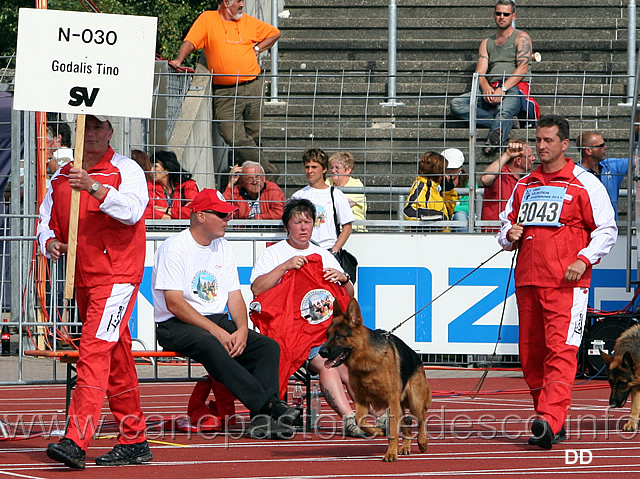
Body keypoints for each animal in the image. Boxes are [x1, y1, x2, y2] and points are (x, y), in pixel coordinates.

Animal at [318, 300, 430, 462]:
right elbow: (359, 419)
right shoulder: (361, 399)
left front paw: (391, 453)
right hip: (401, 405)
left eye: (338, 336)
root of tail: (416, 356)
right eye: (327, 335)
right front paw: (376, 431)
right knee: (407, 422)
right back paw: (406, 447)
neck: (366, 359)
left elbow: (393, 431)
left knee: (421, 419)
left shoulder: (391, 401)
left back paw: (422, 442)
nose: (321, 352)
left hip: (414, 401)